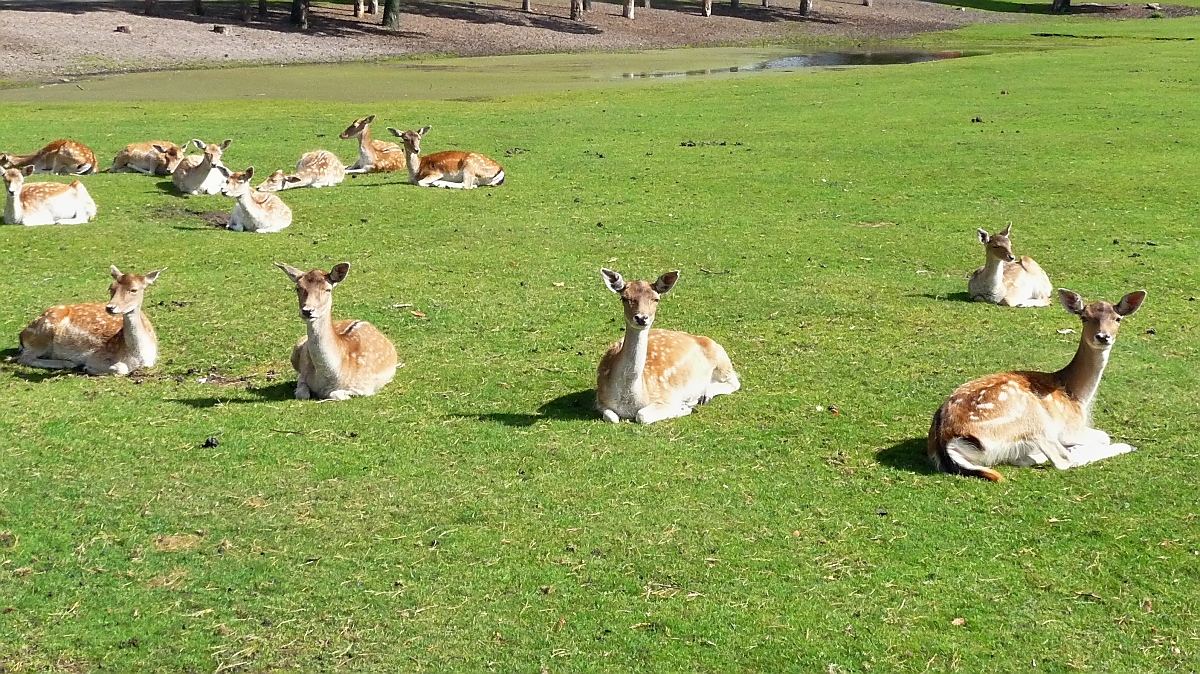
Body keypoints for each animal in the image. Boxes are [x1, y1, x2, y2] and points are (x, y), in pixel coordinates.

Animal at [17, 265, 164, 374]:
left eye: (134, 290)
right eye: (111, 287)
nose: (110, 307)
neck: (139, 356)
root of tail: (22, 334)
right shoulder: (97, 355)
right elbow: (120, 368)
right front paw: (89, 368)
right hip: (43, 335)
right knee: (24, 358)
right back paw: (68, 363)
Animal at [276, 261, 398, 398]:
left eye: (327, 289)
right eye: (297, 288)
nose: (307, 311)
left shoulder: (366, 387)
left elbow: (335, 394)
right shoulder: (303, 375)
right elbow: (302, 393)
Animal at [592, 269, 734, 422]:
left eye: (656, 299)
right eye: (624, 298)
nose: (641, 318)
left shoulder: (667, 395)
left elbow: (642, 415)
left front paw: (685, 407)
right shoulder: (600, 400)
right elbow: (611, 417)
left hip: (722, 360)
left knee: (734, 381)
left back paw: (704, 396)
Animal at [926, 285, 1142, 479]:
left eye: (1118, 318)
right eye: (1084, 317)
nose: (1103, 336)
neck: (1078, 397)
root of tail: (946, 441)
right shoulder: (1070, 428)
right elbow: (1104, 436)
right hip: (1035, 421)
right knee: (1062, 459)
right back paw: (1123, 446)